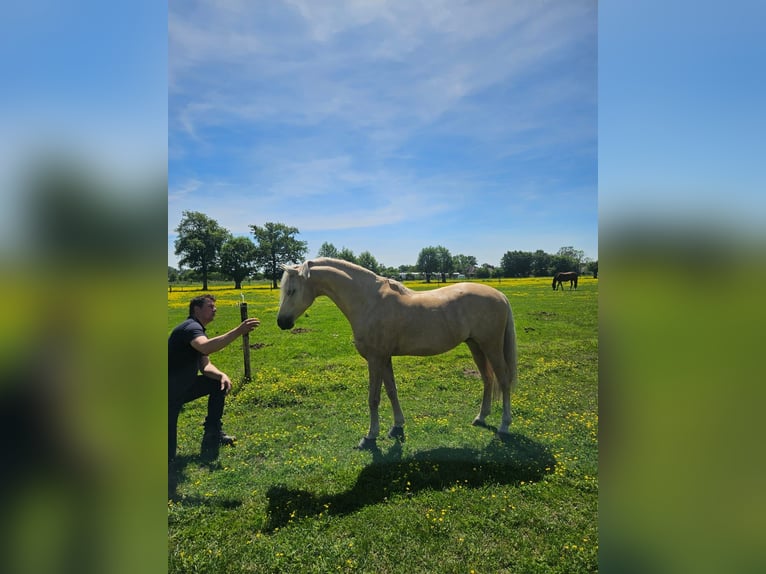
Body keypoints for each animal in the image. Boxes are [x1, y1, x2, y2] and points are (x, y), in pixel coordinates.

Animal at [277, 258, 518, 450]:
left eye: (291, 290)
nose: (282, 322)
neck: (368, 301)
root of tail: (500, 295)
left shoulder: (375, 359)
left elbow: (373, 398)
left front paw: (370, 436)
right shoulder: (384, 358)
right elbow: (392, 391)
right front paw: (397, 427)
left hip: (491, 346)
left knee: (503, 380)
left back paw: (504, 425)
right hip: (476, 345)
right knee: (487, 379)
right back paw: (480, 417)